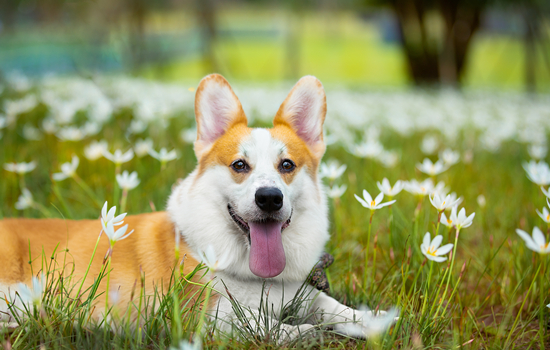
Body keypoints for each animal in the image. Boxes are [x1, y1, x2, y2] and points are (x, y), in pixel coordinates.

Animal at [0, 74, 388, 342]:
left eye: (287, 165)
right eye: (239, 165)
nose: (269, 198)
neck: (254, 275)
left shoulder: (301, 293)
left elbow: (334, 307)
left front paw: (375, 319)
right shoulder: (204, 313)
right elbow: (259, 322)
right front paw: (301, 332)